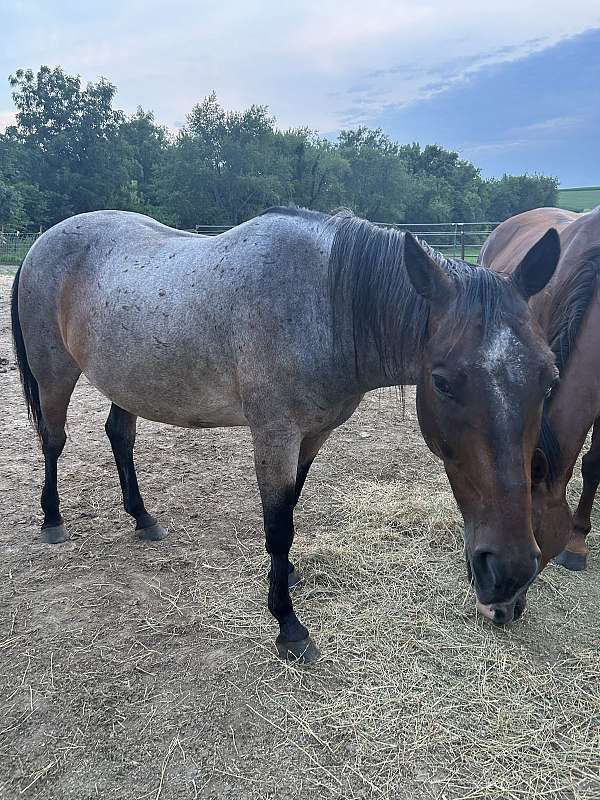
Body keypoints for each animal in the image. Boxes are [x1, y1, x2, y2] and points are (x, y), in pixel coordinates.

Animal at [11, 207, 561, 660]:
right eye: (443, 382)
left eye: (549, 377)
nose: (510, 571)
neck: (325, 307)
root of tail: (42, 241)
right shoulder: (274, 436)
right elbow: (277, 525)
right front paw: (288, 626)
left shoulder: (311, 435)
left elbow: (290, 508)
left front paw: (288, 576)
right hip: (55, 372)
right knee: (53, 440)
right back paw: (52, 520)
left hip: (128, 383)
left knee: (119, 436)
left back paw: (143, 519)